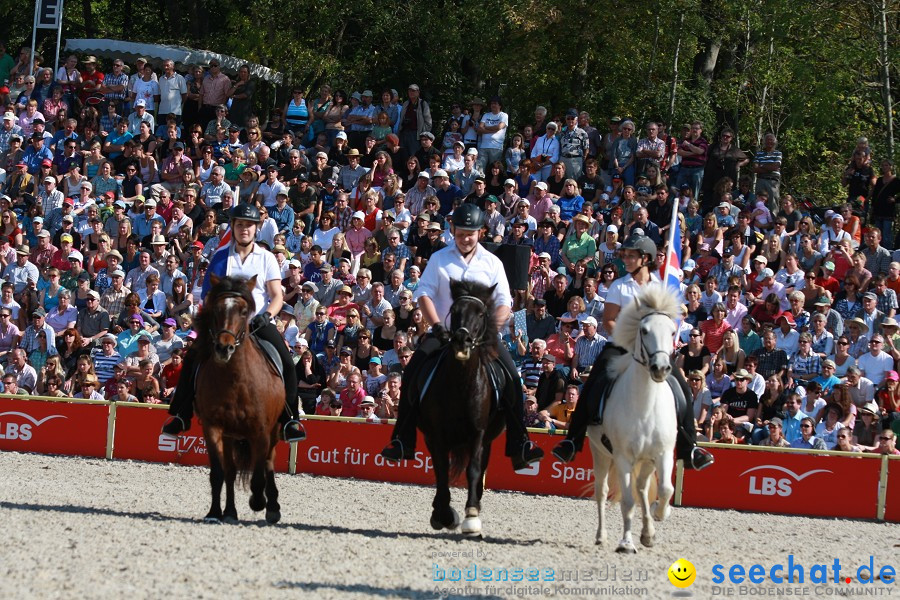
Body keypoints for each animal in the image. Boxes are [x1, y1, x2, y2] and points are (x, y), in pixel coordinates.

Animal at [194, 274, 284, 524]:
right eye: (216, 309)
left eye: (244, 311)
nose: (223, 348)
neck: (235, 381)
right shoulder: (213, 427)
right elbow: (219, 473)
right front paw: (214, 512)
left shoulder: (261, 431)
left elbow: (258, 475)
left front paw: (258, 501)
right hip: (230, 435)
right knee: (231, 471)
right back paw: (230, 512)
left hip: (274, 431)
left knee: (268, 463)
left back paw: (272, 506)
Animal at [414, 278, 506, 536]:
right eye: (454, 311)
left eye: (481, 313)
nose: (461, 340)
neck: (461, 384)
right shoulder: (436, 434)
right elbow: (441, 470)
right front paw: (444, 513)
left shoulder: (478, 433)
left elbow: (473, 470)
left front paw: (471, 515)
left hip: (487, 440)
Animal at [588, 284, 680, 556]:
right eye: (644, 330)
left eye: (673, 331)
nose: (660, 368)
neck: (645, 406)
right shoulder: (623, 457)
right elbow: (627, 501)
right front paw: (626, 543)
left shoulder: (663, 453)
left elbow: (666, 489)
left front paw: (661, 514)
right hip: (600, 453)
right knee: (602, 492)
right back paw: (602, 537)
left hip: (646, 461)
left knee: (642, 489)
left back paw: (648, 533)